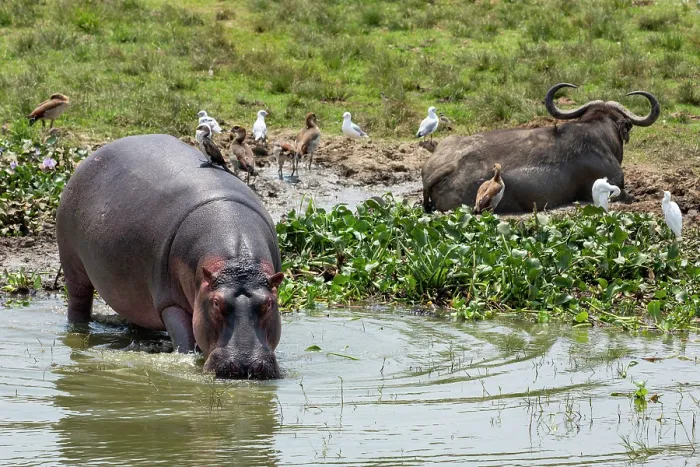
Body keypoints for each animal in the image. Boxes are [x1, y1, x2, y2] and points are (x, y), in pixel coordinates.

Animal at [56, 135, 284, 379]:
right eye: (216, 303)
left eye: (269, 303)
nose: (245, 365)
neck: (238, 263)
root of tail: (90, 158)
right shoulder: (170, 302)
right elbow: (185, 342)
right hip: (72, 264)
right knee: (78, 302)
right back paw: (78, 333)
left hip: (132, 291)